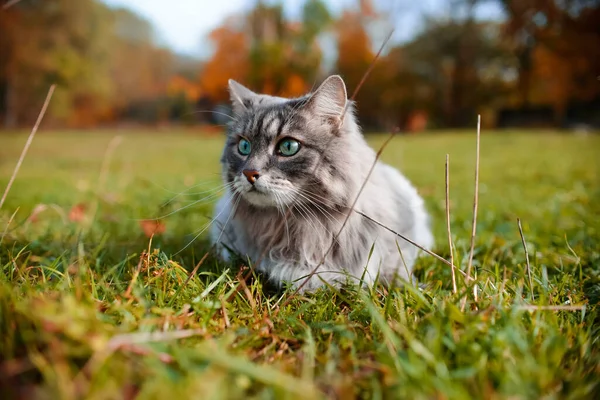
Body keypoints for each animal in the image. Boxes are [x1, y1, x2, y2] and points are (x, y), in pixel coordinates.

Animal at [209, 76, 434, 294]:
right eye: (244, 146)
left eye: (288, 146)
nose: (249, 173)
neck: (301, 225)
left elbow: (396, 273)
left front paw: (414, 288)